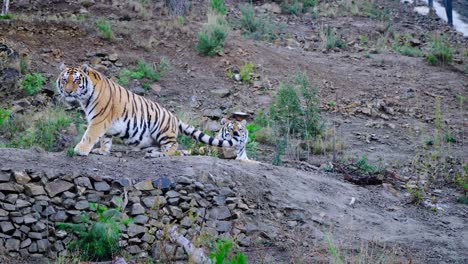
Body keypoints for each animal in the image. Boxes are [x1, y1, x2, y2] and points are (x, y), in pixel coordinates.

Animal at [57, 63, 241, 157]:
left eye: (76, 80)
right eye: (65, 80)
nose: (68, 91)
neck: (84, 98)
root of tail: (173, 116)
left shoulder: (99, 120)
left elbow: (89, 135)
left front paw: (80, 150)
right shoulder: (104, 123)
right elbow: (105, 139)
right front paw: (102, 151)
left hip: (162, 130)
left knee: (174, 146)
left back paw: (161, 154)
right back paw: (154, 152)